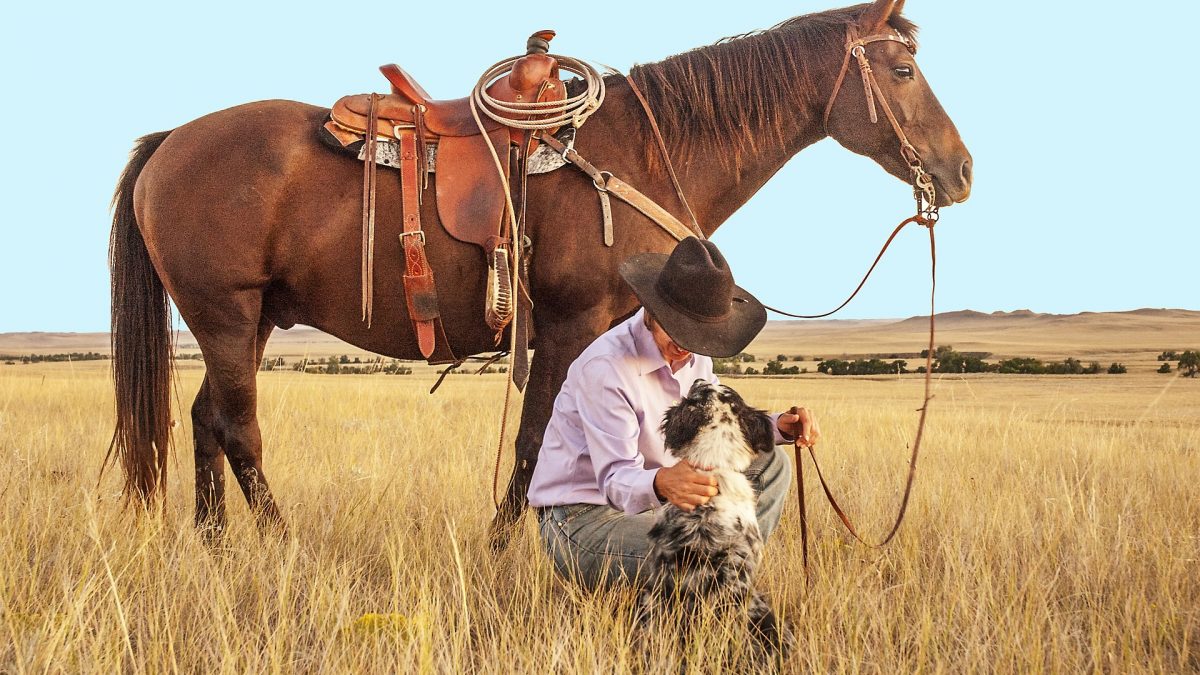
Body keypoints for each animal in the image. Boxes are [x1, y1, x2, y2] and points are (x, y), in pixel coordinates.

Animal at [108, 0, 969, 542]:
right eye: (902, 73)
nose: (960, 171)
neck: (641, 153)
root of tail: (171, 140)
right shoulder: (566, 324)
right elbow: (533, 440)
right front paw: (501, 547)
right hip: (225, 314)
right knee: (240, 428)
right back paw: (278, 542)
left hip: (249, 320)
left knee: (205, 419)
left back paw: (215, 543)